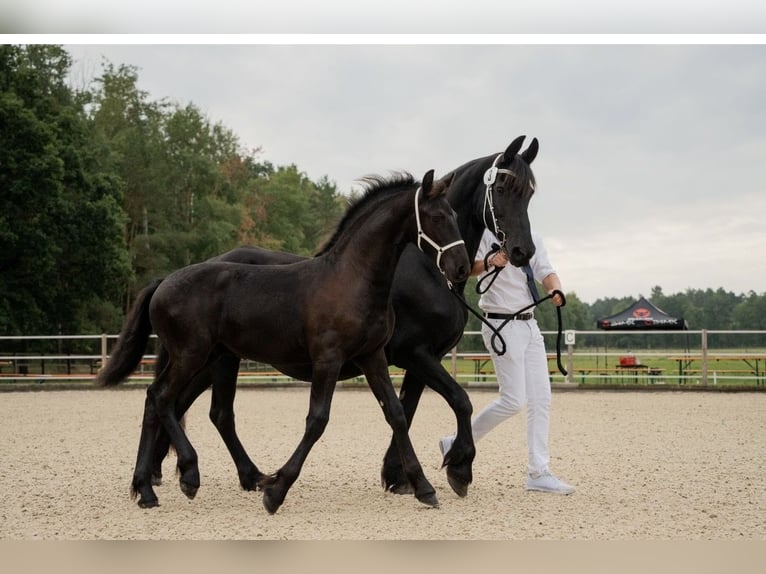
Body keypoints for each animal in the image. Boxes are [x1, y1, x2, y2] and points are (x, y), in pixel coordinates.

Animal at [97, 169, 470, 513]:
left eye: (455, 215)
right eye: (437, 217)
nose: (462, 268)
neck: (351, 279)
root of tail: (163, 282)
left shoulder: (373, 356)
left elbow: (396, 414)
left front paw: (423, 487)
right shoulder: (330, 359)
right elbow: (317, 420)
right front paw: (276, 491)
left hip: (211, 358)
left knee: (167, 404)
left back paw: (147, 489)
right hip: (192, 355)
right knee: (162, 398)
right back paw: (188, 474)